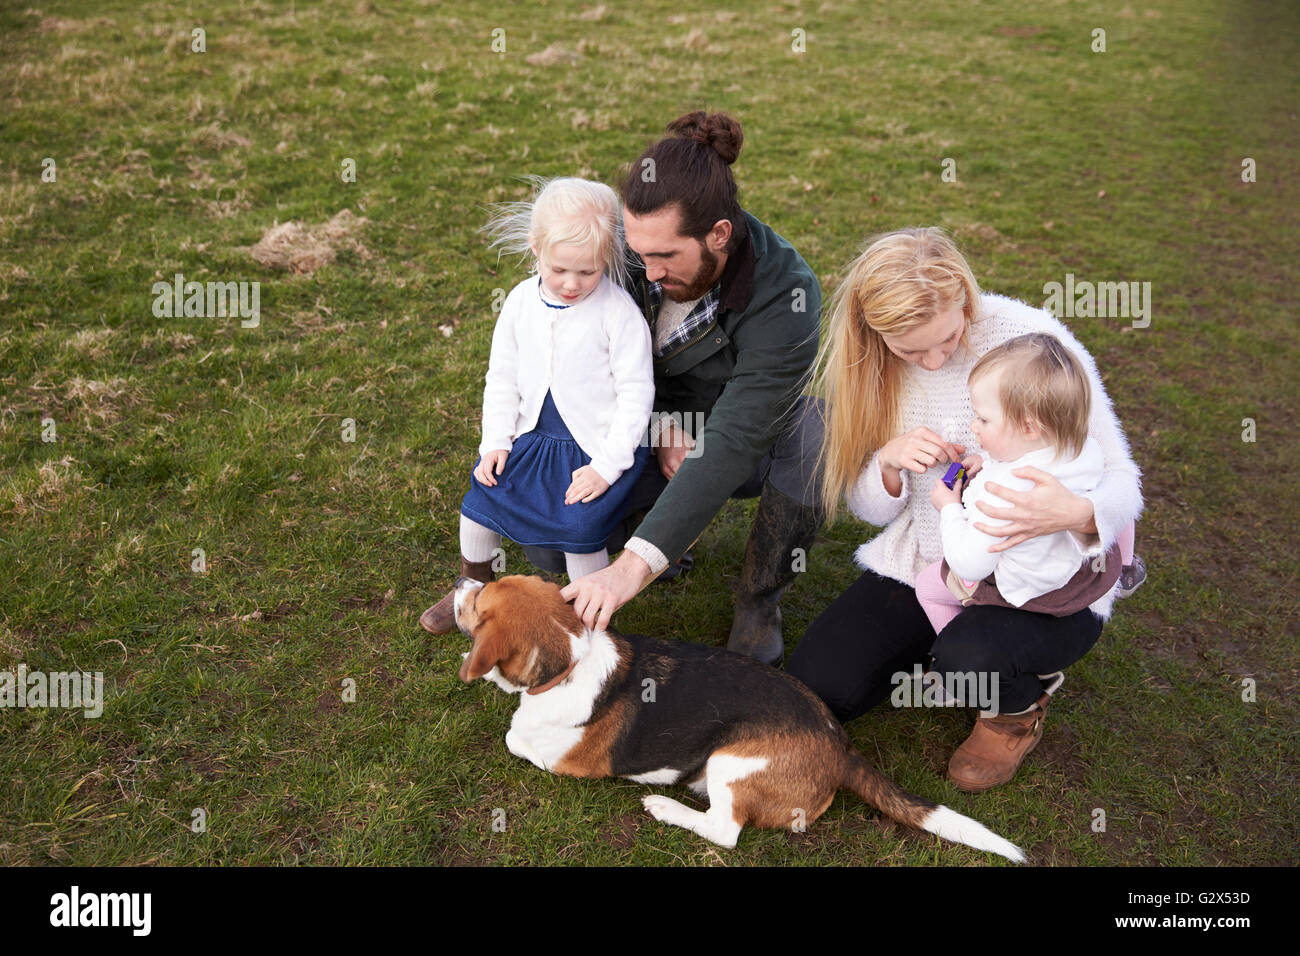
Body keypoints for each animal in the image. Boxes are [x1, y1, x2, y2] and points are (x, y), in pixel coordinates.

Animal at [452, 580, 1019, 863]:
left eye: (477, 600)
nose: (462, 580)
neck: (569, 659)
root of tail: (840, 746)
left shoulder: (554, 756)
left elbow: (513, 736)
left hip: (731, 761)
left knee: (724, 831)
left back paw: (666, 806)